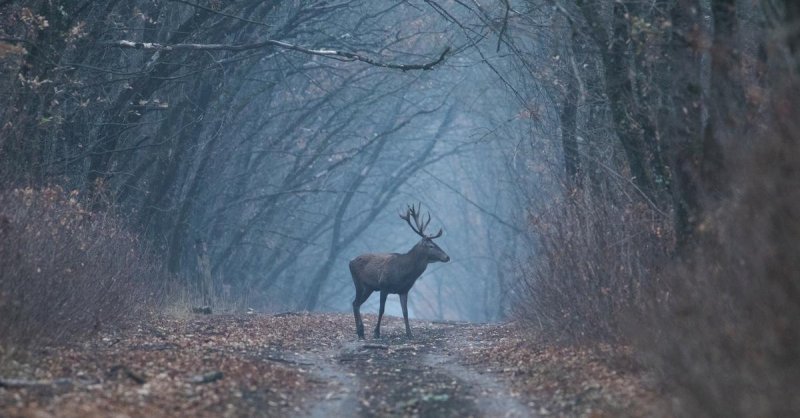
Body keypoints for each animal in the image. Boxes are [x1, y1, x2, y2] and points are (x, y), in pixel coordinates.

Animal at [350, 203, 450, 340]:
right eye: (431, 246)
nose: (447, 257)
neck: (404, 273)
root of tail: (350, 262)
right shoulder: (384, 286)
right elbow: (381, 309)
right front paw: (376, 333)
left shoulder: (404, 290)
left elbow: (405, 312)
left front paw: (409, 334)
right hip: (359, 284)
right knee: (355, 303)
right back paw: (361, 332)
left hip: (369, 288)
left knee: (356, 303)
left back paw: (361, 333)